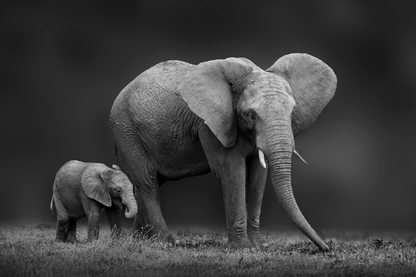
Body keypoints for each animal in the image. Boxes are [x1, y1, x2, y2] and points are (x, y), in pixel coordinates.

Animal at [109, 53, 336, 250]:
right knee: (148, 183)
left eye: (292, 112)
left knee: (150, 182)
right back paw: (168, 242)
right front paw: (244, 248)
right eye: (250, 115)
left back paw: (142, 239)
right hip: (126, 132)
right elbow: (230, 170)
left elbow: (257, 174)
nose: (326, 248)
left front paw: (259, 246)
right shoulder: (209, 124)